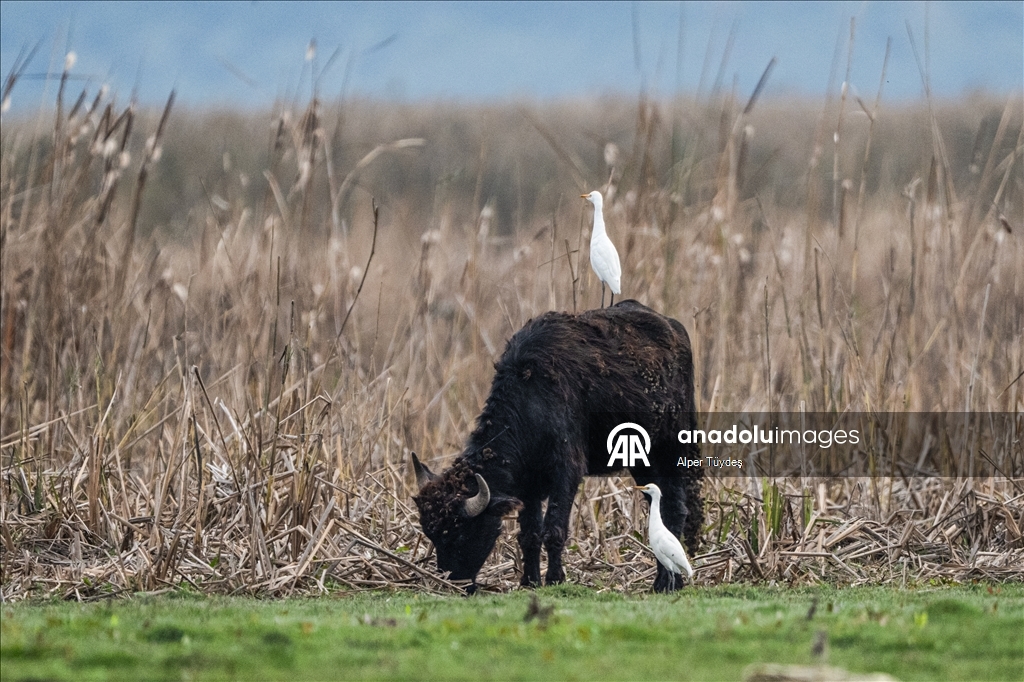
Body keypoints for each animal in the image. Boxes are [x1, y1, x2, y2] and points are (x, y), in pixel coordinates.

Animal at [411, 300, 703, 593]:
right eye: (432, 534)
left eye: (461, 532)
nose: (455, 583)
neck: (532, 401)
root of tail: (674, 329)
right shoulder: (527, 485)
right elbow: (529, 535)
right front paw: (530, 581)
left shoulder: (567, 472)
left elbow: (554, 529)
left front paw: (554, 578)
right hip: (641, 460)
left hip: (671, 449)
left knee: (675, 509)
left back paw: (668, 582)